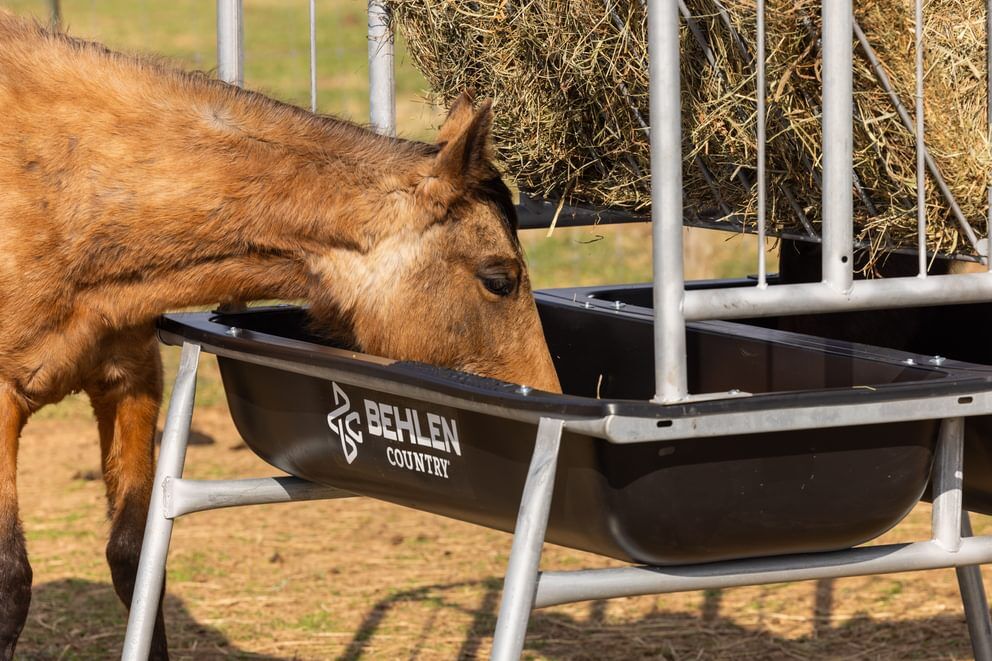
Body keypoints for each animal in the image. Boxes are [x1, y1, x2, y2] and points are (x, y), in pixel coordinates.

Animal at [0, 12, 560, 659]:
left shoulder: (131, 381)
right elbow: (13, 578)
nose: (548, 391)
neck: (74, 188)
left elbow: (135, 559)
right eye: (500, 280)